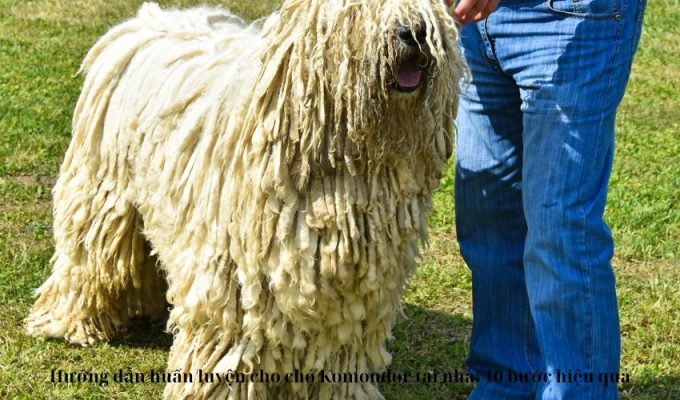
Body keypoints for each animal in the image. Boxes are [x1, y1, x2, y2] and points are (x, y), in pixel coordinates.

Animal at [26, 1, 462, 398]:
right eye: (359, 11)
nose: (415, 33)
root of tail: (145, 19)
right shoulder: (235, 276)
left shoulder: (354, 292)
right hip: (102, 187)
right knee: (88, 257)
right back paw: (68, 323)